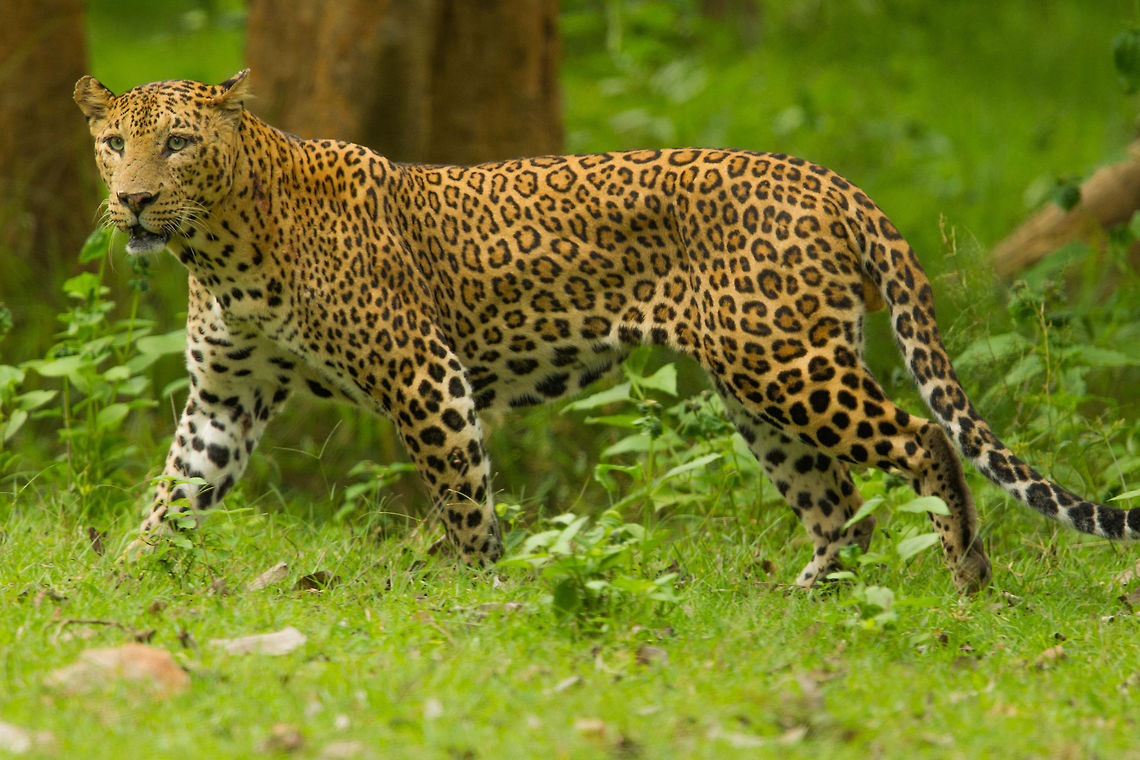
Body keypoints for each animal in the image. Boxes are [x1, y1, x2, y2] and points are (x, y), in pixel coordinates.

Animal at [74, 70, 1140, 593]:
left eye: (177, 142)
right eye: (113, 142)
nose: (131, 202)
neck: (219, 246)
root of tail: (828, 178)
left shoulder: (425, 377)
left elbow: (464, 495)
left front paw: (480, 591)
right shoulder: (227, 395)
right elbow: (178, 490)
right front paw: (122, 578)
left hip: (788, 363)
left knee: (921, 440)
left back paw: (966, 574)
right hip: (758, 388)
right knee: (837, 497)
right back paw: (810, 594)